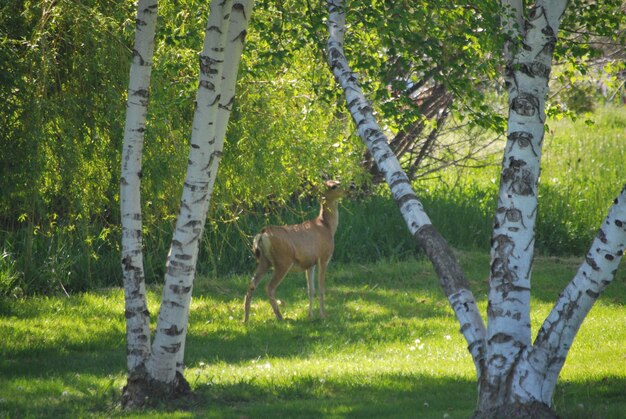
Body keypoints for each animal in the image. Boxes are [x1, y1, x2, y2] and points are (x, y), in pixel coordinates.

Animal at [243, 179, 352, 324]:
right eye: (333, 186)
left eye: (338, 180)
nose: (350, 188)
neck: (327, 226)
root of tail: (262, 234)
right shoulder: (323, 257)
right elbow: (321, 287)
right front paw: (323, 315)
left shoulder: (310, 263)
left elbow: (310, 289)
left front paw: (310, 315)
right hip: (283, 261)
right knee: (269, 287)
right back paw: (280, 317)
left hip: (264, 261)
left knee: (252, 284)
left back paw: (245, 318)